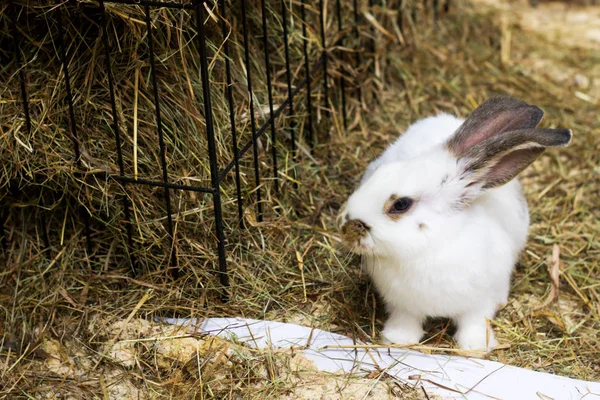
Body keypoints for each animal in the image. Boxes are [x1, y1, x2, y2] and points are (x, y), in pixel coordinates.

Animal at [338, 96, 572, 350]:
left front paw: (475, 347)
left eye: (401, 204)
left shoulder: (480, 302)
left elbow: (475, 322)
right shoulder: (403, 305)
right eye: (379, 174)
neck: (429, 247)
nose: (345, 227)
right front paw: (398, 339)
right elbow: (405, 320)